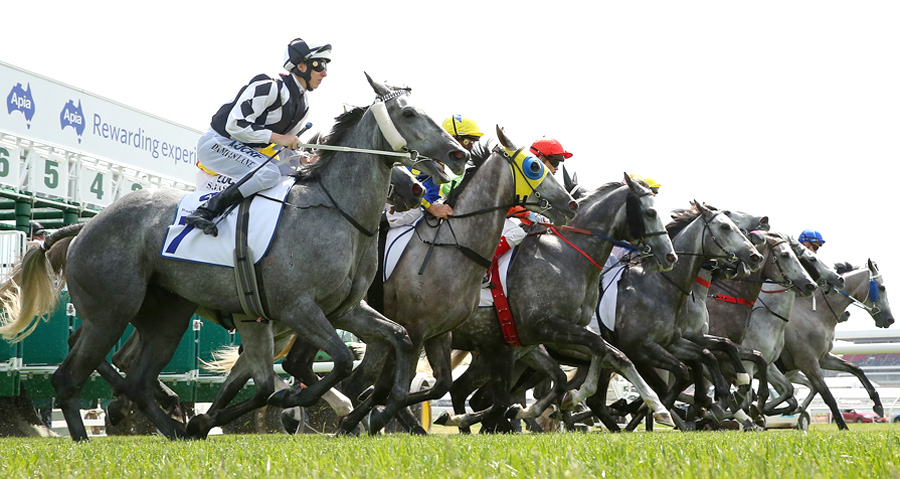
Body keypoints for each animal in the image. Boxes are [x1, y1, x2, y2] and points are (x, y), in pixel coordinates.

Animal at [0, 75, 464, 442]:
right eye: (408, 113)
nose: (456, 154)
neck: (337, 211)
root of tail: (86, 226)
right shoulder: (296, 309)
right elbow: (339, 361)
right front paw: (298, 399)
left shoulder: (342, 310)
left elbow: (398, 339)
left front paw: (378, 411)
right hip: (111, 311)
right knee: (70, 376)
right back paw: (91, 437)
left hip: (164, 317)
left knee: (136, 378)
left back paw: (176, 428)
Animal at [780, 260, 892, 434]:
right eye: (882, 288)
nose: (890, 319)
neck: (813, 312)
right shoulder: (807, 361)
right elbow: (827, 395)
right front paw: (843, 427)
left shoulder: (823, 358)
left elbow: (855, 368)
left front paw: (878, 404)